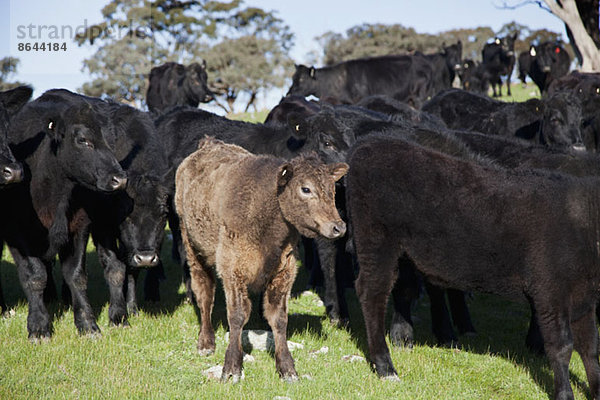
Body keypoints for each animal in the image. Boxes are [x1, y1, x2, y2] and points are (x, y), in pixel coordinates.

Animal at [3, 97, 126, 338]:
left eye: (109, 140)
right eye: (82, 140)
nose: (120, 179)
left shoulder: (79, 227)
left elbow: (76, 275)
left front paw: (87, 324)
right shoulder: (16, 232)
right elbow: (34, 275)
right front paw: (39, 326)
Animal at [173, 137, 346, 382]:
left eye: (332, 189)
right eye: (305, 189)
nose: (338, 227)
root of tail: (210, 143)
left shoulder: (285, 270)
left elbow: (278, 318)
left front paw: (287, 368)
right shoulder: (232, 268)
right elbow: (237, 316)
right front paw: (231, 368)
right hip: (192, 246)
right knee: (204, 294)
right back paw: (206, 342)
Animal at [344, 134, 600, 400]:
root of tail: (369, 142)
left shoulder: (583, 296)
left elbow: (590, 346)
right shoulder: (549, 290)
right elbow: (562, 346)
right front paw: (564, 393)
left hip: (403, 252)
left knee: (402, 289)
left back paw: (403, 339)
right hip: (375, 240)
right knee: (372, 293)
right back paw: (385, 366)